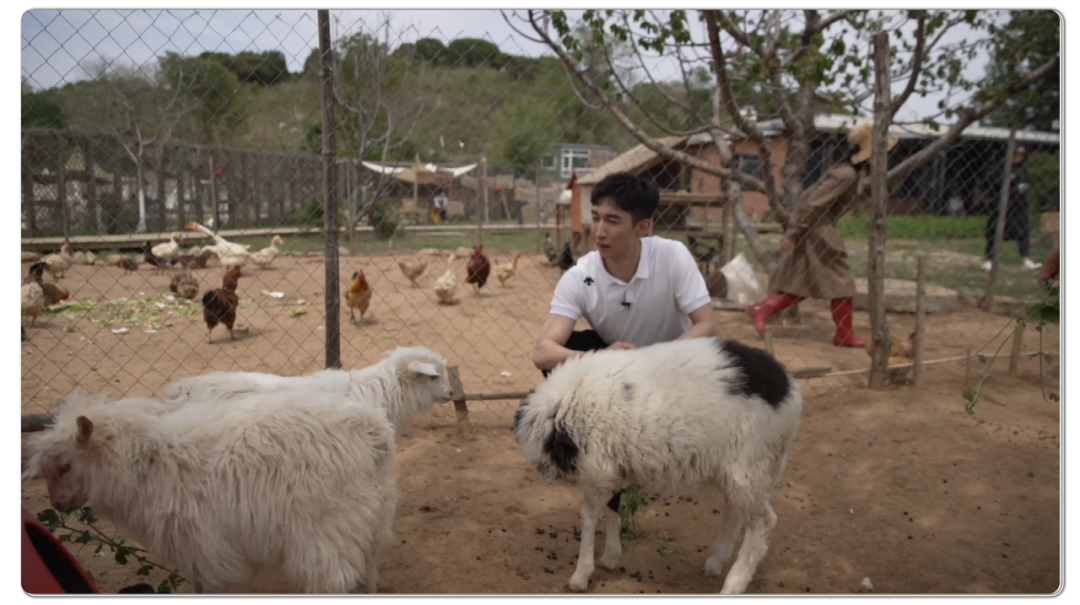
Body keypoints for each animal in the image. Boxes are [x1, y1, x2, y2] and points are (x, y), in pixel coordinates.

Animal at [21, 384, 401, 592]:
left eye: (65, 466)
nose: (57, 504)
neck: (148, 464)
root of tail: (373, 431)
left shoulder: (202, 545)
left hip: (326, 531)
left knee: (334, 581)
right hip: (367, 521)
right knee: (365, 574)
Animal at [511, 334, 803, 596]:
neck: (559, 414)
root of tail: (789, 391)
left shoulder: (597, 468)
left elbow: (589, 517)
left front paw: (581, 575)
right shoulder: (613, 468)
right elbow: (612, 509)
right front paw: (610, 557)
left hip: (749, 463)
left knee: (763, 522)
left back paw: (734, 584)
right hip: (742, 467)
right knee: (735, 511)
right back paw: (715, 563)